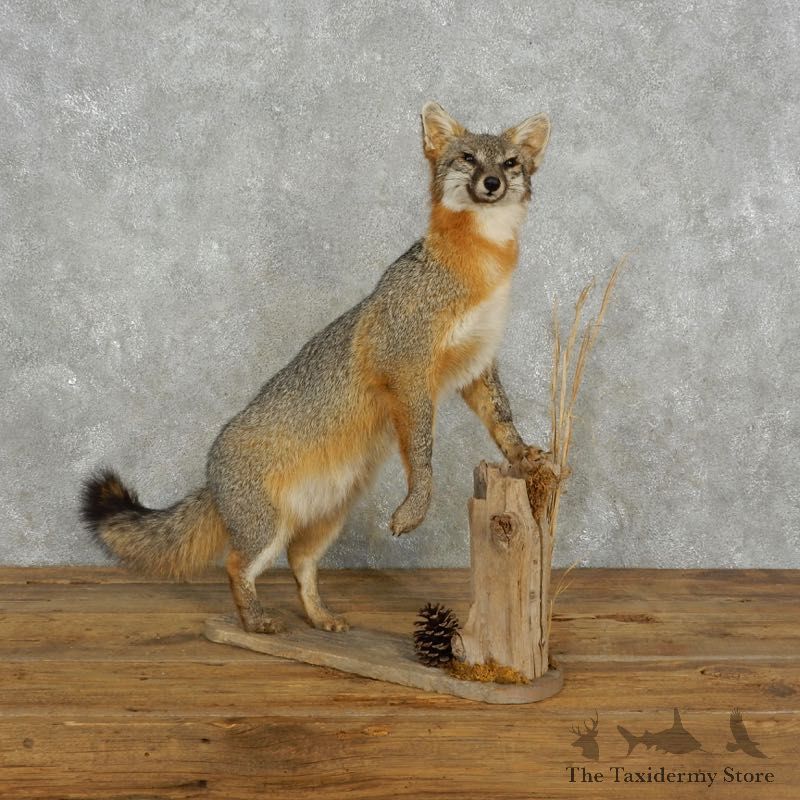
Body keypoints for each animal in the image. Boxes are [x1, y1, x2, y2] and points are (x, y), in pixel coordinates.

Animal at [81, 102, 551, 635]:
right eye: (468, 158)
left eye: (510, 163)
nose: (492, 183)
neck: (480, 269)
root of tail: (210, 474)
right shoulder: (407, 370)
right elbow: (423, 451)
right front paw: (415, 509)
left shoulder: (476, 366)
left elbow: (502, 418)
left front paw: (522, 455)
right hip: (265, 531)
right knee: (235, 565)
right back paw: (255, 622)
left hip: (323, 524)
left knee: (298, 566)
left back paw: (320, 618)